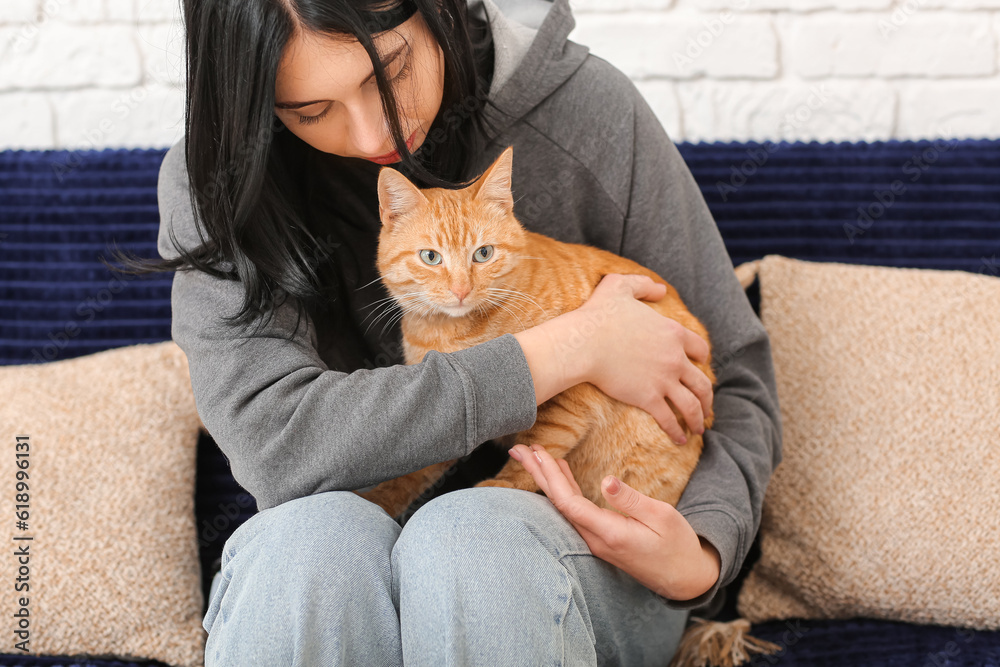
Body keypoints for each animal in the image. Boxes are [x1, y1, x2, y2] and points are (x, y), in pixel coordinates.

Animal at [356, 149, 716, 520]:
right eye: (430, 257)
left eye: (483, 253)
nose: (461, 290)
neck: (457, 335)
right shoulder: (448, 423)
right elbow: (415, 469)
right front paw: (378, 498)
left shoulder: (573, 398)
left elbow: (537, 451)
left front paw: (499, 487)